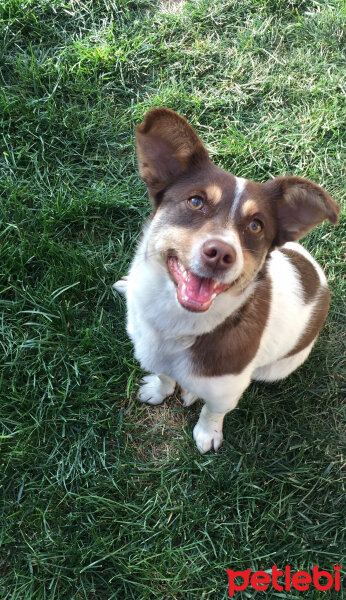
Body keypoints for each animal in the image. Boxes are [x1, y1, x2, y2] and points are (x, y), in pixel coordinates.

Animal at [114, 109, 340, 454]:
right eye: (196, 202)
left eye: (256, 225)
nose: (220, 253)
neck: (179, 324)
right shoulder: (155, 354)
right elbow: (165, 377)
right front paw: (159, 389)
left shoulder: (227, 389)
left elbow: (213, 409)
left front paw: (207, 432)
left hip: (276, 369)